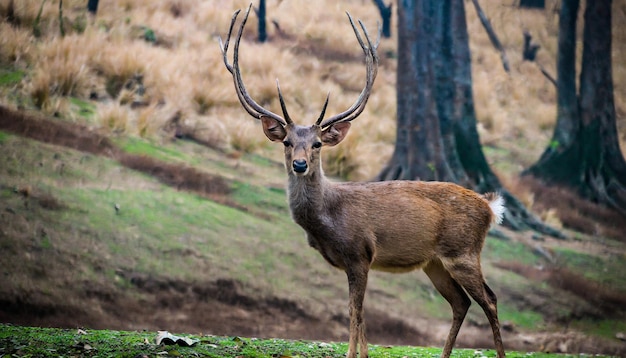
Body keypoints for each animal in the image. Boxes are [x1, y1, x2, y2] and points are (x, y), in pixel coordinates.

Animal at [219, 5, 508, 358]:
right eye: (287, 142)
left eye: (317, 144)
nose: (300, 164)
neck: (328, 221)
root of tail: (491, 208)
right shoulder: (351, 262)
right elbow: (358, 313)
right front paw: (363, 353)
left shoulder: (360, 253)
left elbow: (354, 310)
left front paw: (353, 353)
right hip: (435, 263)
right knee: (461, 303)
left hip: (463, 251)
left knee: (490, 299)